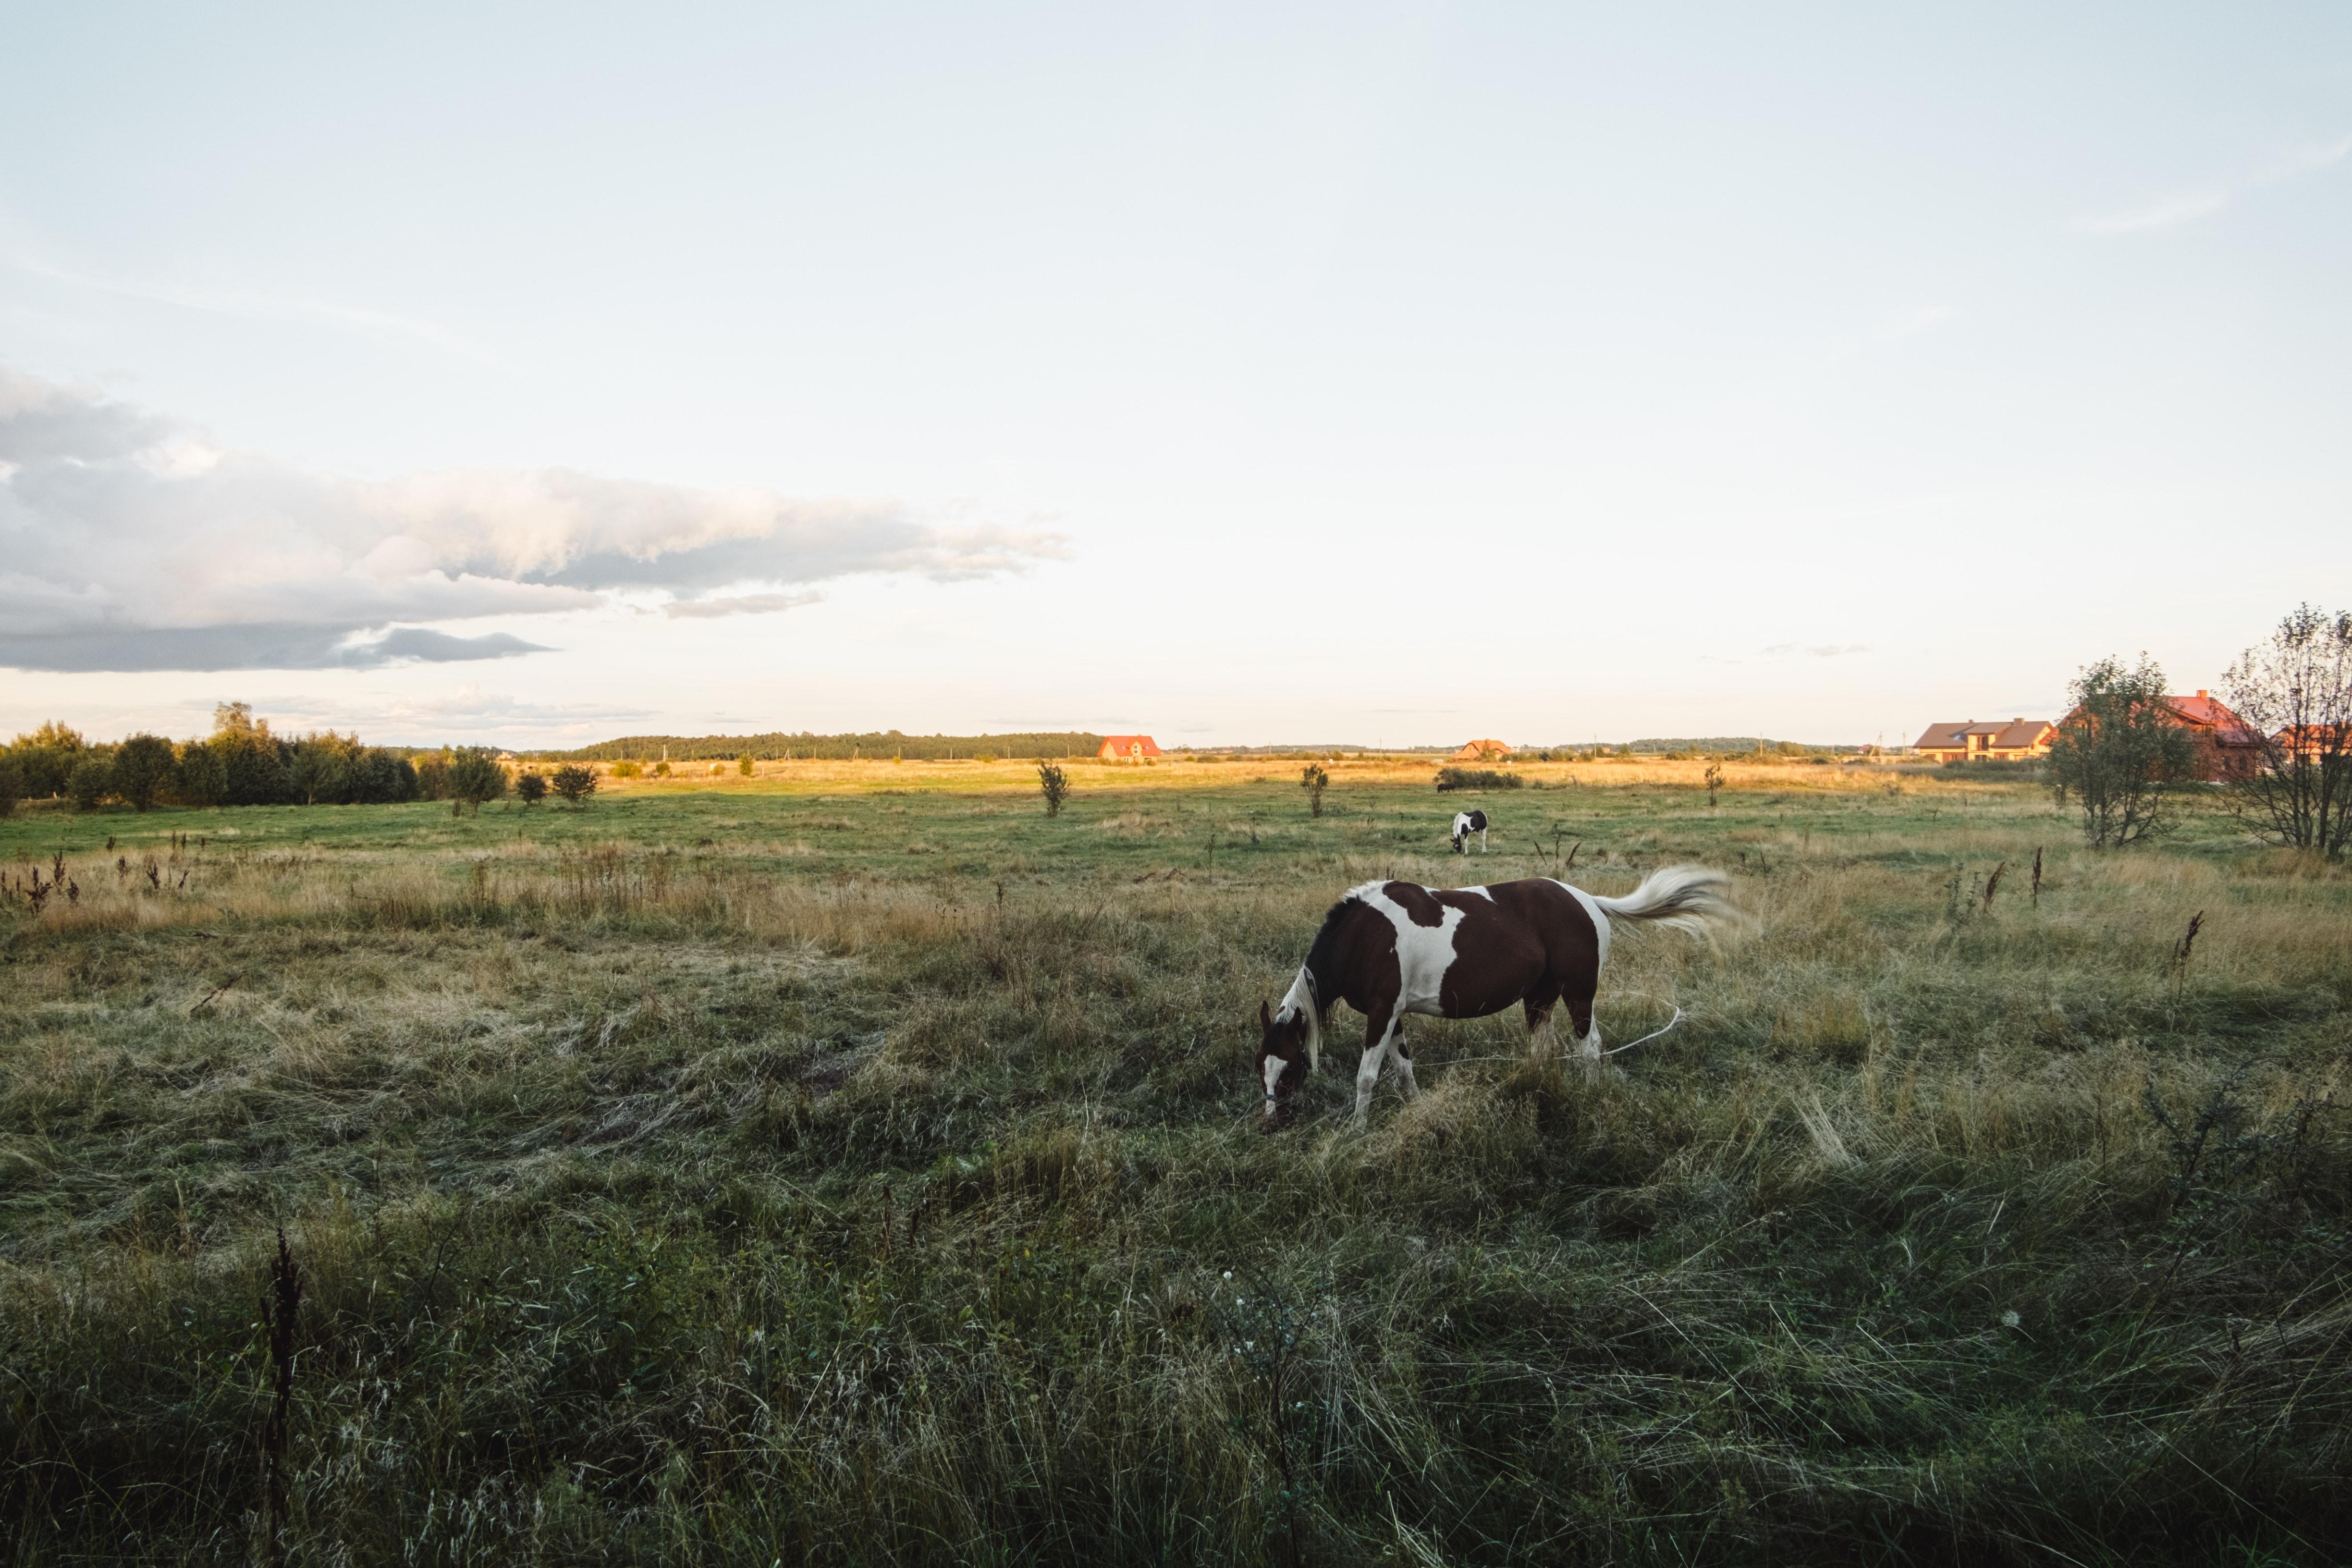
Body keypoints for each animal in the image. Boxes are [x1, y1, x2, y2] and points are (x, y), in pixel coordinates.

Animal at [1261, 870, 1740, 1128]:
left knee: (1590, 1048)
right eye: (1261, 1067)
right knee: (1542, 1051)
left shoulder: (1381, 1014)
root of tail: (1587, 901)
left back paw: (1588, 1095)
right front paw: (1416, 1108)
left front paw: (1358, 1130)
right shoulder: (1393, 1015)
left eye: (1291, 1070)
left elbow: (1367, 1077)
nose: (1270, 1125)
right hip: (1540, 999)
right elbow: (1404, 1069)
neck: (1366, 937)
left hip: (1579, 994)